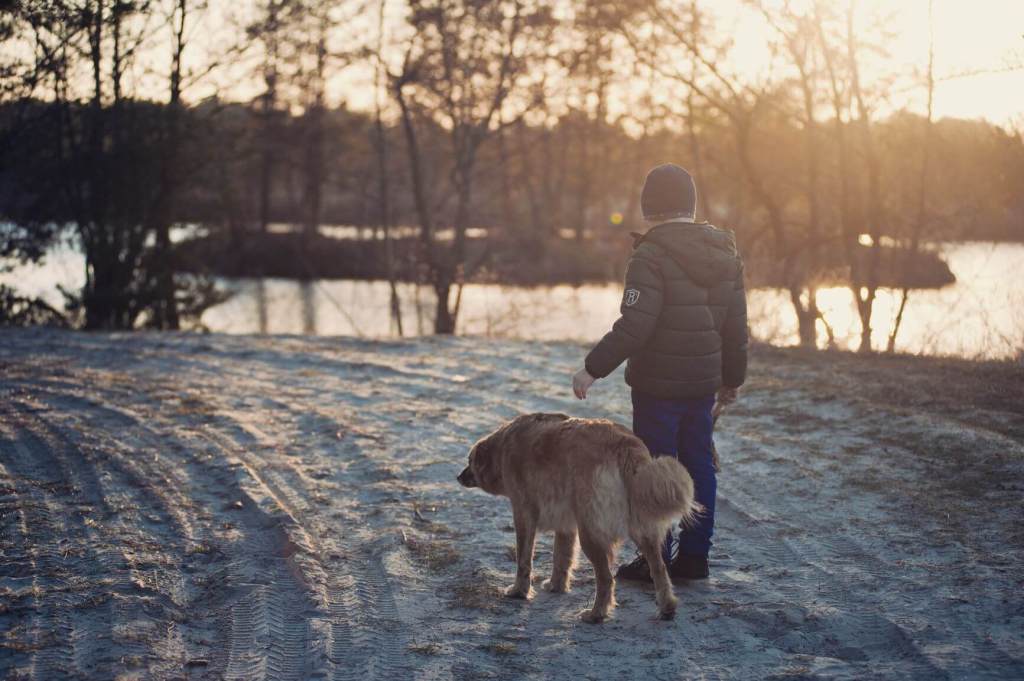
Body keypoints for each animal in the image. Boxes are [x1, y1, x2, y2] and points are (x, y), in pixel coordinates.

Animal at [460, 409, 700, 622]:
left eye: (469, 461)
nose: (458, 477)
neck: (503, 447)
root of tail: (624, 445)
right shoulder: (566, 524)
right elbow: (561, 557)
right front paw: (556, 586)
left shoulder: (523, 512)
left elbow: (524, 559)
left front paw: (519, 591)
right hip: (641, 529)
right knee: (659, 569)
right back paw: (666, 608)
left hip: (591, 532)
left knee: (606, 579)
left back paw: (596, 614)